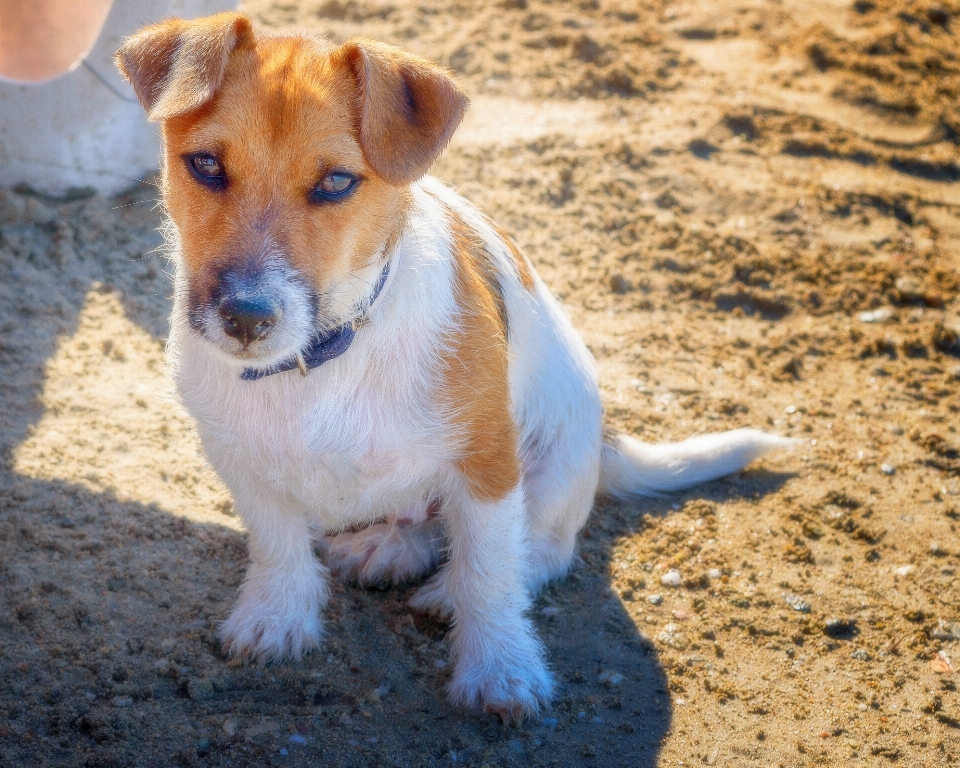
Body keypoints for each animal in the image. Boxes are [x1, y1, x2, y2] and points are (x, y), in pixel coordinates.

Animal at [118, 12, 796, 720]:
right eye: (205, 165)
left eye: (336, 182)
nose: (246, 317)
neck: (326, 356)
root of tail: (603, 443)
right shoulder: (241, 461)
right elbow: (277, 545)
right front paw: (277, 619)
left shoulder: (488, 464)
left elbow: (492, 574)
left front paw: (498, 669)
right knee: (421, 522)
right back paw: (388, 547)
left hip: (550, 466)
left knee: (535, 553)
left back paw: (447, 587)